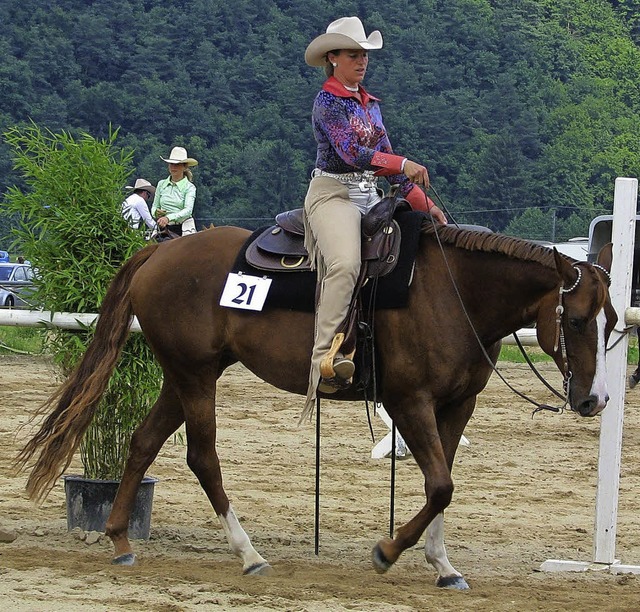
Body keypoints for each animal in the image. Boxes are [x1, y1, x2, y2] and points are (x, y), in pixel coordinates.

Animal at [18, 221, 616, 588]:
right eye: (576, 319)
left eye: (613, 322)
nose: (593, 399)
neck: (453, 292)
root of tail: (161, 250)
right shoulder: (409, 401)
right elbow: (441, 485)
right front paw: (387, 553)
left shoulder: (457, 405)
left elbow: (441, 485)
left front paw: (443, 566)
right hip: (194, 376)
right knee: (202, 458)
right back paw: (249, 554)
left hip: (185, 375)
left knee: (143, 441)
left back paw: (120, 538)